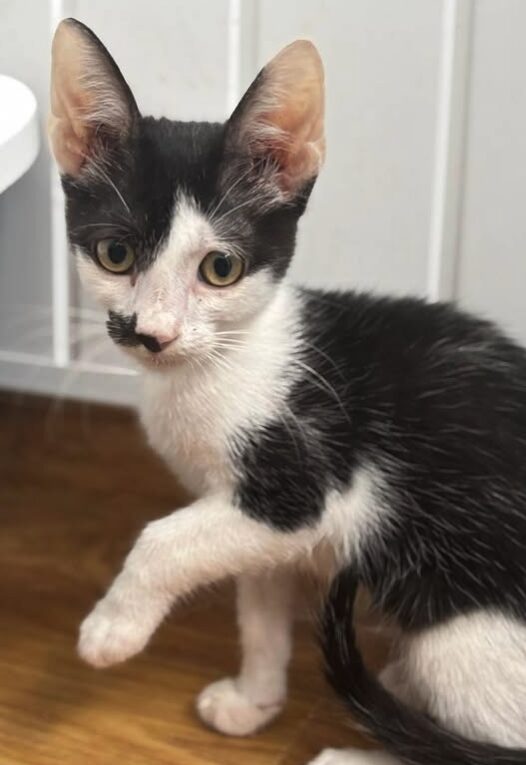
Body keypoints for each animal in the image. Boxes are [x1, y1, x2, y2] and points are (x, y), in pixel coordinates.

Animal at [49, 17, 526, 764]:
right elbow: (258, 601)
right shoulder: (248, 521)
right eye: (115, 255)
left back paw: (355, 749)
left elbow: (164, 538)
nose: (153, 334)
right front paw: (255, 698)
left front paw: (111, 629)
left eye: (220, 267)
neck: (217, 366)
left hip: (460, 622)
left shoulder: (302, 489)